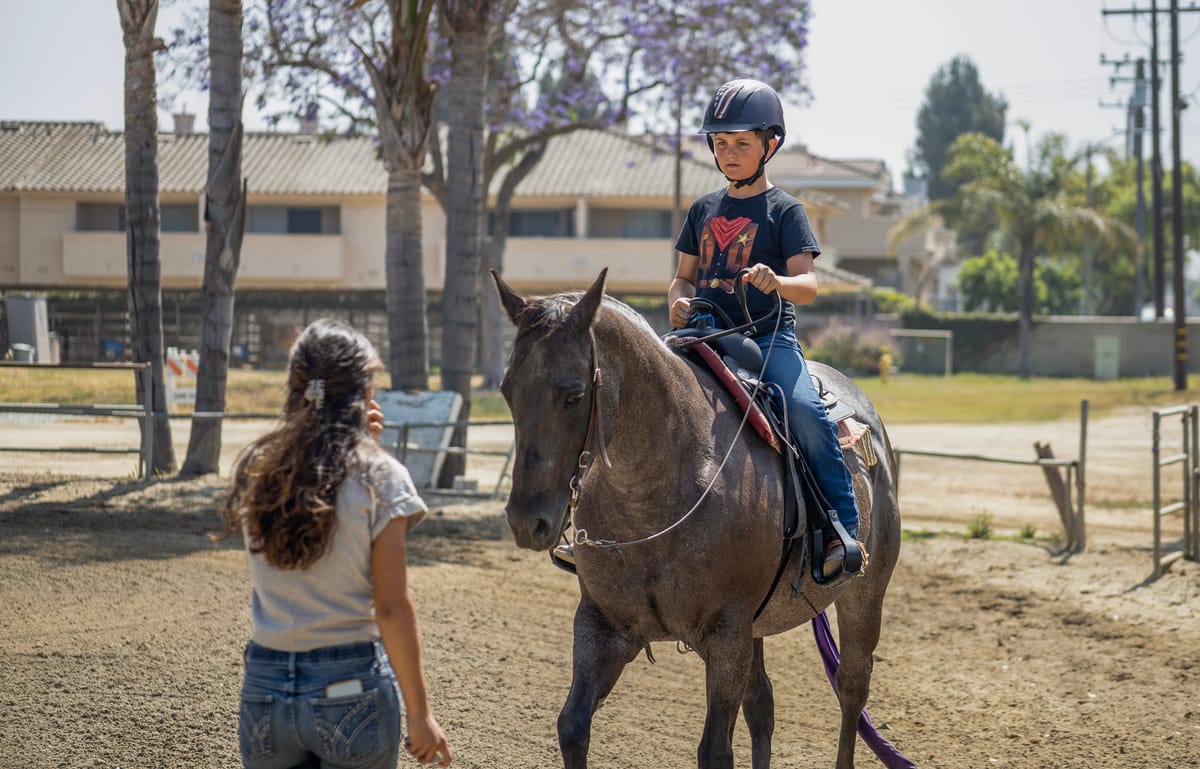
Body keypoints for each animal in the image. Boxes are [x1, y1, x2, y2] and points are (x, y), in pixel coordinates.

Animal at [494, 265, 902, 767]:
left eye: (572, 394)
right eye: (507, 390)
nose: (525, 521)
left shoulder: (726, 637)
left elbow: (715, 750)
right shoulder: (603, 626)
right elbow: (572, 726)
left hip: (864, 593)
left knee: (851, 686)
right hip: (756, 628)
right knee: (763, 705)